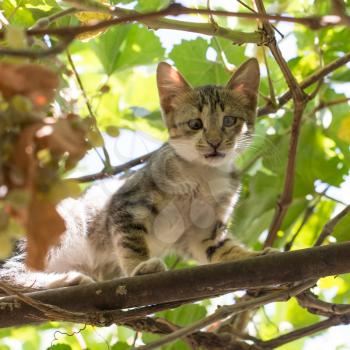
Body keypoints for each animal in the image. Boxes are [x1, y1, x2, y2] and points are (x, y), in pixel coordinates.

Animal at [0, 56, 270, 288]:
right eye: (195, 124)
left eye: (229, 121)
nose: (214, 142)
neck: (203, 176)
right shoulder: (127, 204)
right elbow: (131, 242)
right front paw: (140, 267)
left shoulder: (204, 230)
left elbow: (222, 249)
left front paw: (253, 255)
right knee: (8, 276)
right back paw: (65, 280)